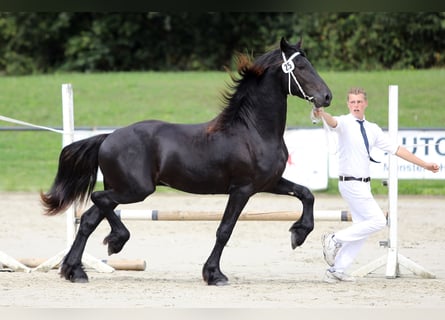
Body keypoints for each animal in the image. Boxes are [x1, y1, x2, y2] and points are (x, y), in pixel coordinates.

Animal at [40, 38, 330, 284]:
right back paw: (115, 242)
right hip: (135, 190)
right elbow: (225, 230)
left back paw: (75, 270)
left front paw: (298, 234)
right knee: (97, 199)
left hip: (122, 189)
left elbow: (306, 194)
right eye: (301, 67)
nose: (327, 96)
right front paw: (214, 275)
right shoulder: (242, 189)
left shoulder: (269, 183)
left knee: (89, 218)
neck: (253, 130)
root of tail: (108, 137)